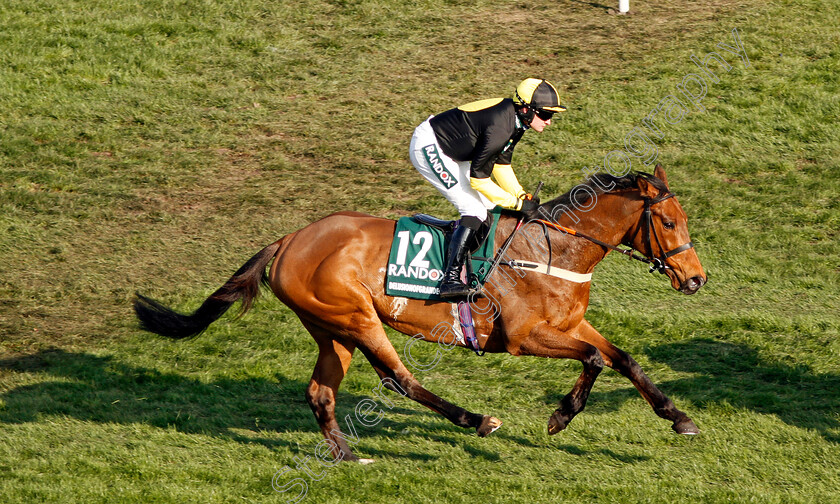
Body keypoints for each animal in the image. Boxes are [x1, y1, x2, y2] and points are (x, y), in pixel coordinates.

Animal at [135, 164, 704, 460]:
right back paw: (476, 419)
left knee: (321, 392)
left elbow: (623, 358)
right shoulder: (524, 337)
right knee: (399, 379)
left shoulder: (568, 324)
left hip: (331, 328)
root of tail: (289, 239)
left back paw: (347, 455)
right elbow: (594, 360)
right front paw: (561, 415)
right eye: (669, 223)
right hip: (357, 318)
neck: (554, 250)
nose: (696, 279)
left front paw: (678, 417)